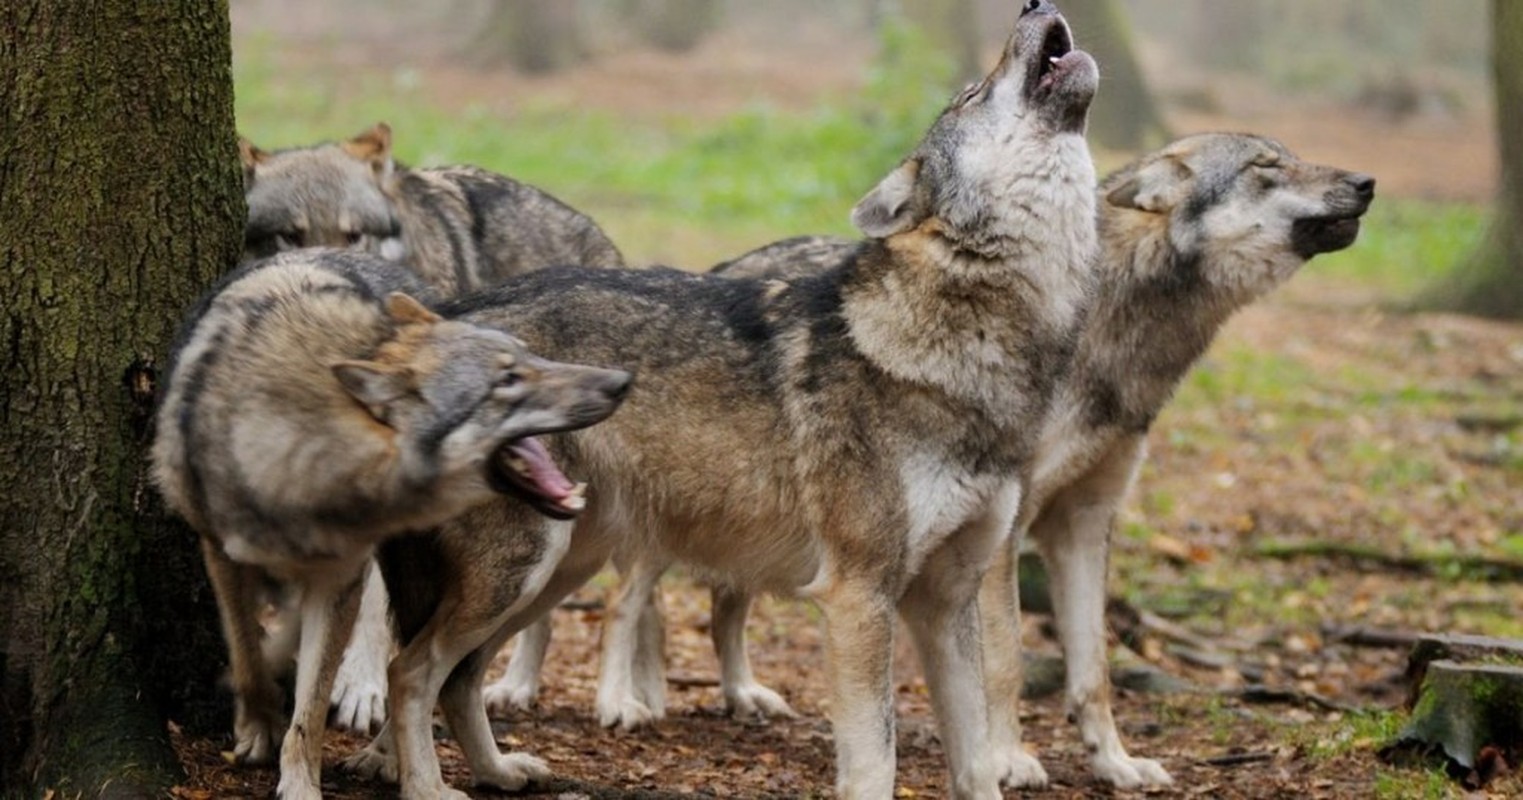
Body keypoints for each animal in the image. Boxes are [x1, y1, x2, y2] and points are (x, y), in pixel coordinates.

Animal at [151, 251, 627, 798]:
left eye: (531, 357)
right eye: (507, 380)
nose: (620, 381)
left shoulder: (341, 580)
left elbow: (310, 710)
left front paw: (300, 784)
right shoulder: (220, 553)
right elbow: (246, 651)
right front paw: (259, 726)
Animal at [345, 3, 1102, 792]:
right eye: (969, 95)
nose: (1033, 6)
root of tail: (448, 315)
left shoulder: (947, 602)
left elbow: (977, 764)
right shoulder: (858, 597)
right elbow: (875, 763)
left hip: (554, 570)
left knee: (460, 677)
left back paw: (496, 771)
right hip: (519, 570)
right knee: (412, 669)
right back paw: (422, 783)